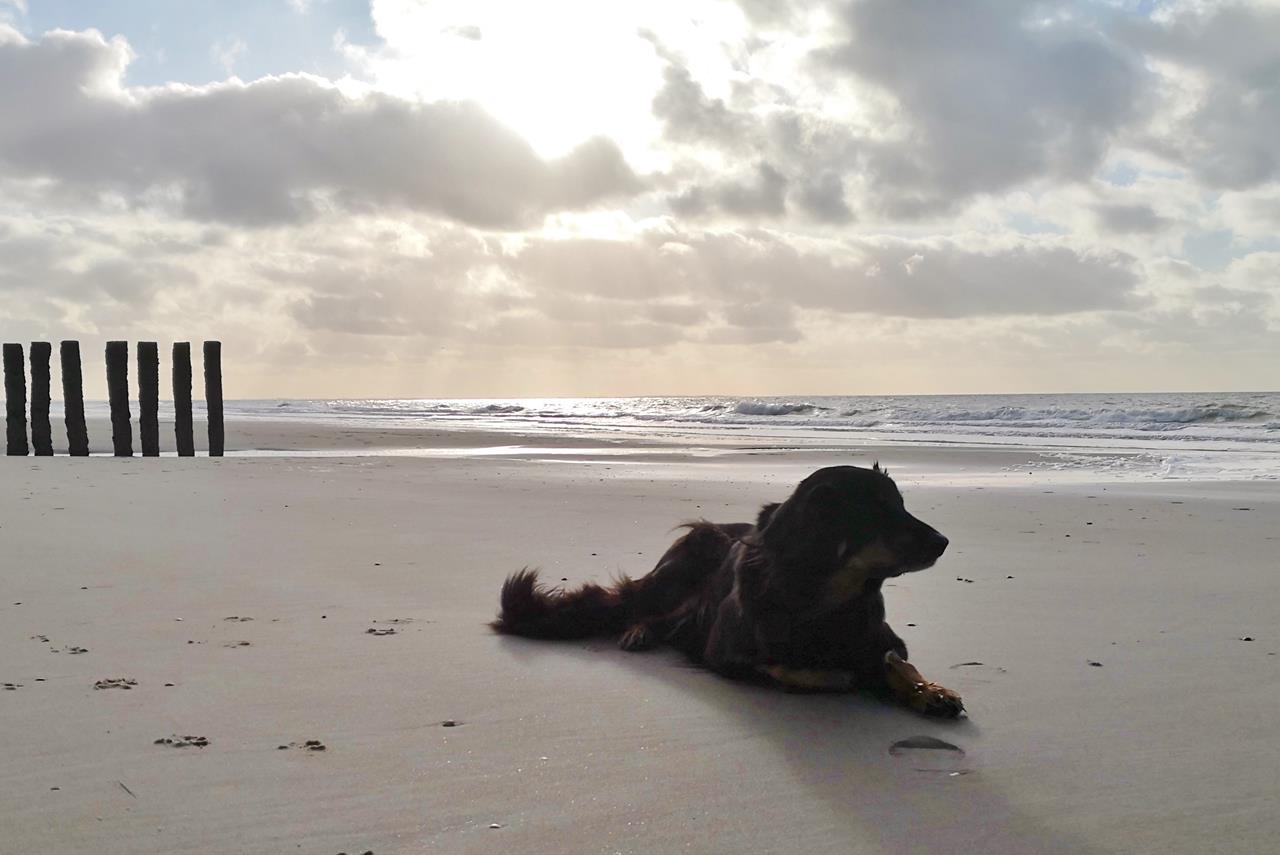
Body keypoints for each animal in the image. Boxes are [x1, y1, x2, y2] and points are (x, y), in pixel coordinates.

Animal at [492, 464, 964, 717]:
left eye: (901, 505)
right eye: (878, 513)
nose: (944, 542)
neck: (822, 597)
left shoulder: (885, 637)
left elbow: (896, 661)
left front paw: (929, 690)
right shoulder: (727, 653)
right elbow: (792, 668)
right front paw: (847, 673)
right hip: (683, 568)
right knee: (648, 612)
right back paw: (639, 631)